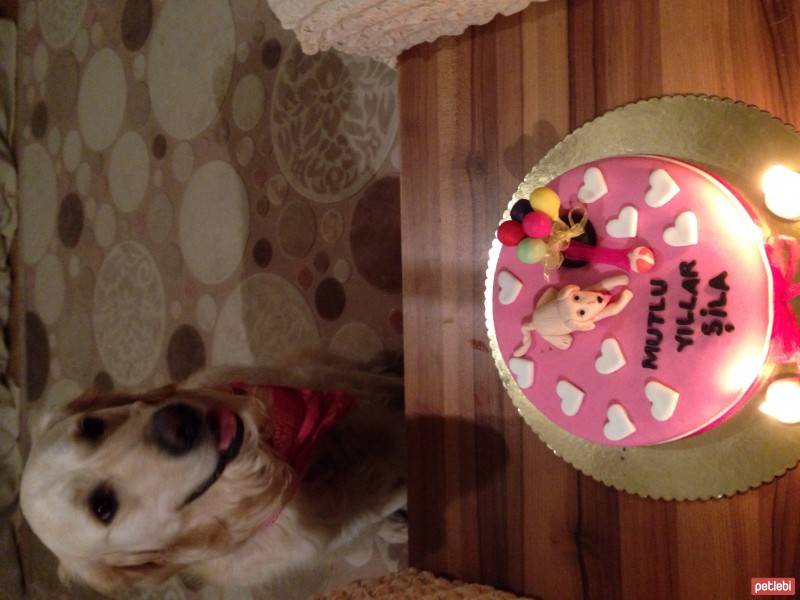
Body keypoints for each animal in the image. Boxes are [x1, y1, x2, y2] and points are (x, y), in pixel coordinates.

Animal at [20, 364, 406, 596]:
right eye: (103, 507)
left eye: (92, 426)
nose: (177, 423)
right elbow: (390, 495)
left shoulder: (341, 383)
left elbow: (381, 385)